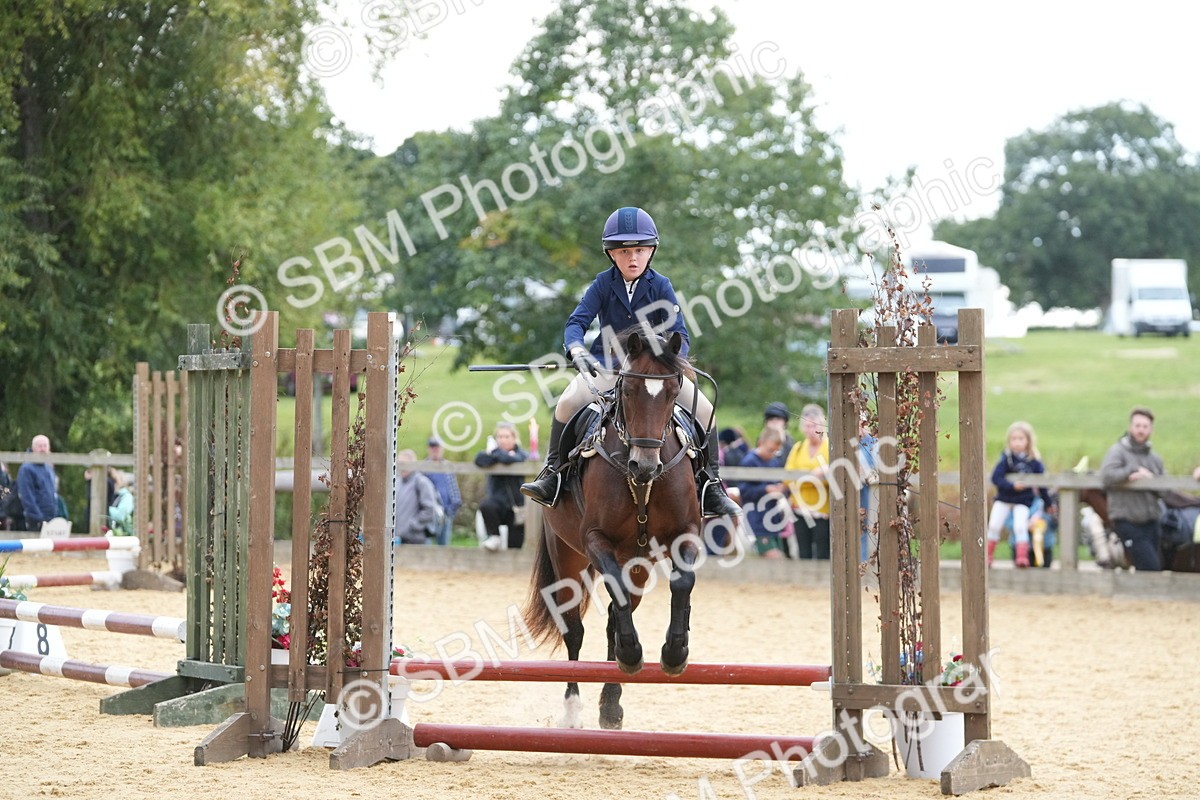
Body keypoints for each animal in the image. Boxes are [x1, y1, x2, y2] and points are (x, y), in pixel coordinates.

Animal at [522, 327, 704, 730]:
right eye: (629, 391)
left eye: (672, 393)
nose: (644, 466)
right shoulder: (595, 540)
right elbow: (608, 598)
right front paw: (634, 653)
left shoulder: (685, 533)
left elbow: (682, 583)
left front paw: (674, 652)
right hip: (568, 557)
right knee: (574, 629)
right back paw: (574, 707)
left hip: (638, 564)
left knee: (612, 618)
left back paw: (611, 705)